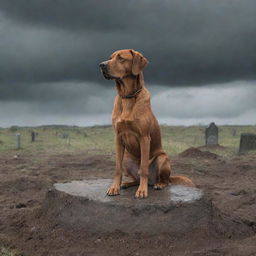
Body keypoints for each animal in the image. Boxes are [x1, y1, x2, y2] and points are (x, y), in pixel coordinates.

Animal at [99, 49, 193, 198]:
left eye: (121, 58)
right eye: (110, 57)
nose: (101, 65)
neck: (128, 97)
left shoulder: (144, 138)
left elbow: (143, 168)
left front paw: (142, 191)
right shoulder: (118, 138)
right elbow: (117, 168)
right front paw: (114, 187)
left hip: (162, 158)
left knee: (164, 180)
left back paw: (158, 184)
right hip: (126, 159)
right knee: (135, 178)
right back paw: (127, 183)